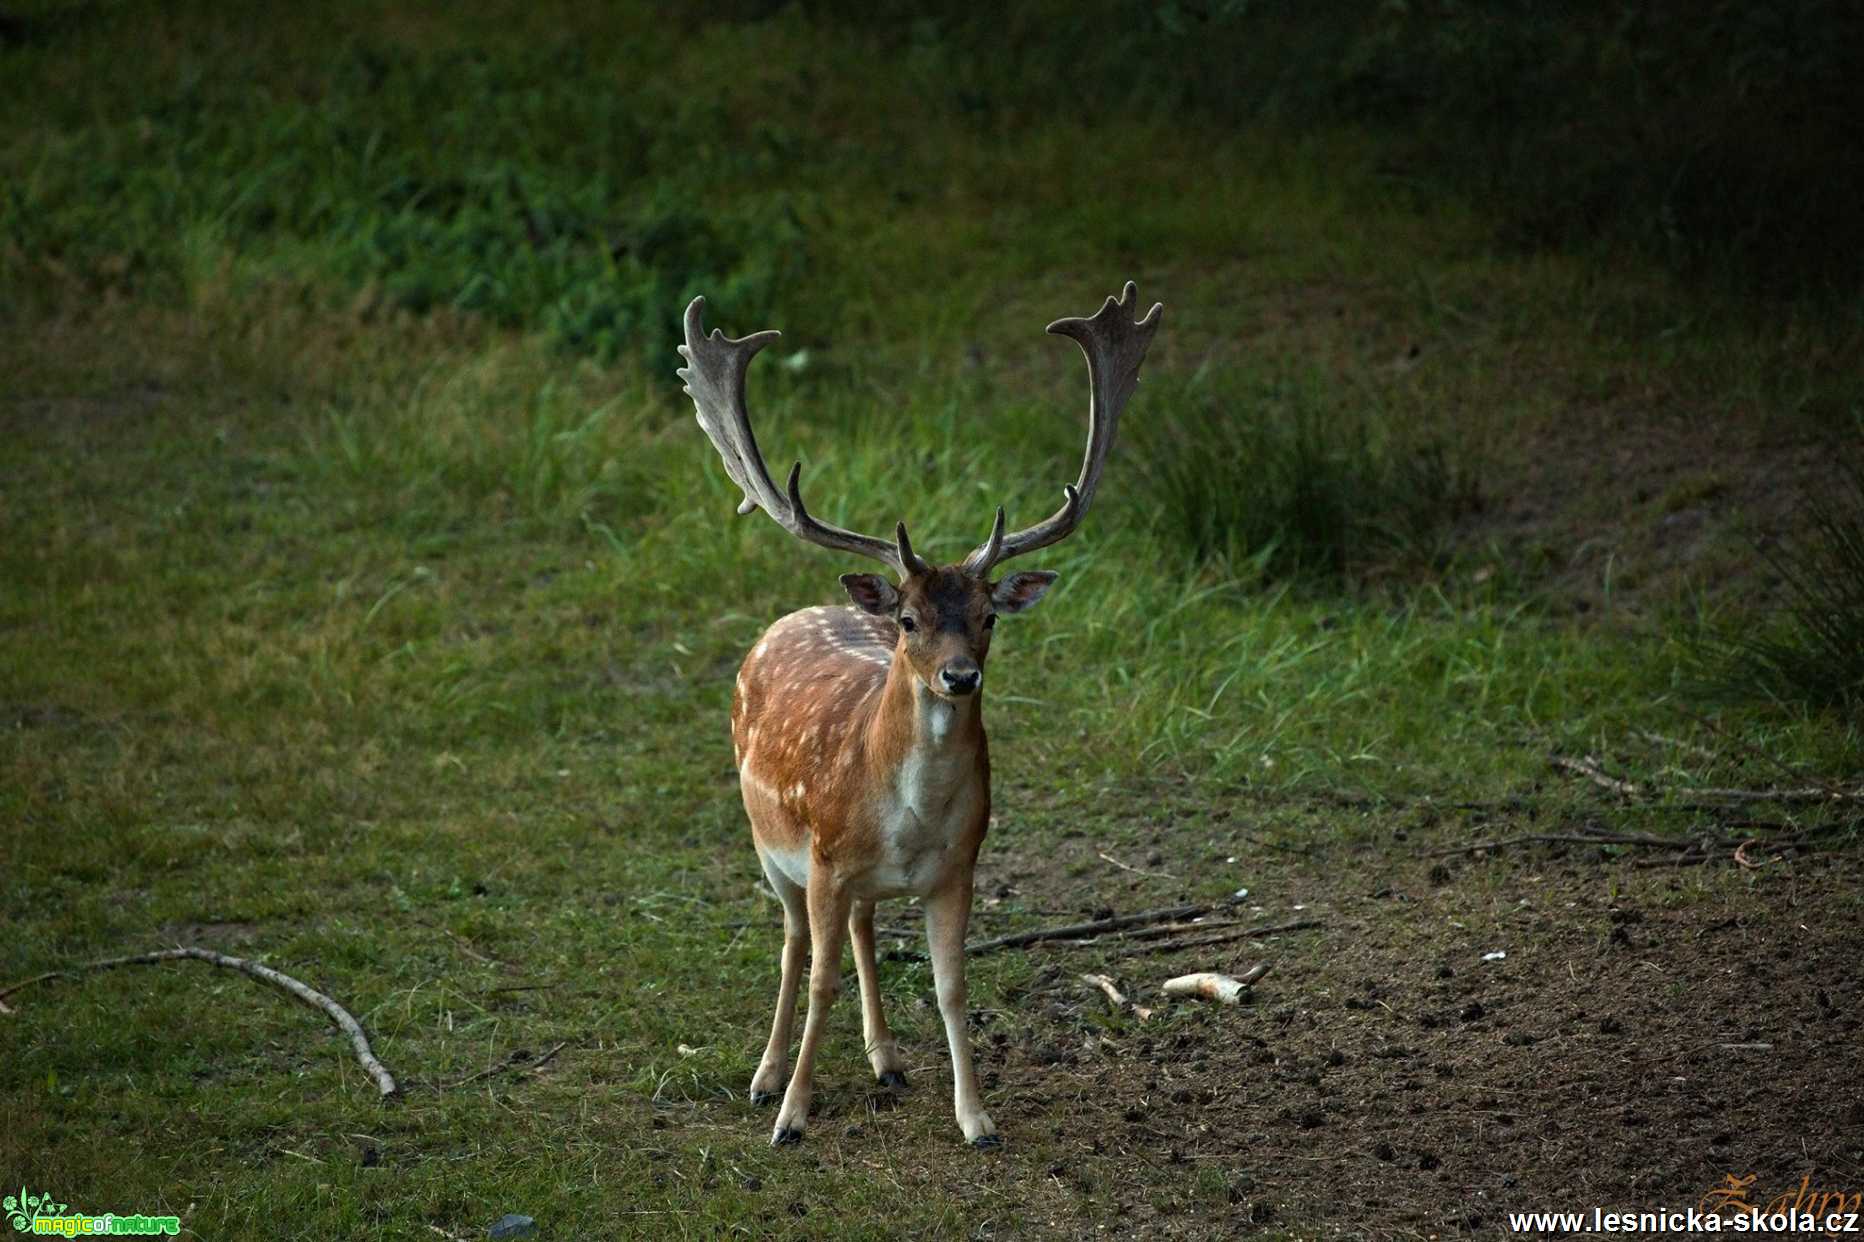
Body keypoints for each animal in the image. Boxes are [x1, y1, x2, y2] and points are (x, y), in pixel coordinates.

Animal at [678, 277, 1155, 1141]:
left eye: (990, 616)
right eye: (908, 621)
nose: (959, 678)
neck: (910, 818)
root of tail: (788, 616)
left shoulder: (959, 866)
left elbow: (951, 986)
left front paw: (977, 1118)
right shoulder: (825, 860)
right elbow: (820, 981)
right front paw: (792, 1114)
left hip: (851, 878)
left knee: (864, 929)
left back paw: (887, 1060)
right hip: (769, 843)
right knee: (793, 943)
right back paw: (765, 1075)